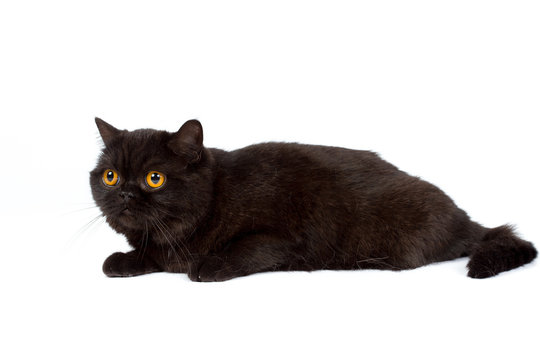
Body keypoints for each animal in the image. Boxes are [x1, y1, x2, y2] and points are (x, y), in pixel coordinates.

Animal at [89, 118, 536, 282]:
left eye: (155, 178)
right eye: (110, 176)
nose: (124, 192)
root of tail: (466, 219)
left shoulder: (282, 238)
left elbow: (240, 251)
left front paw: (206, 264)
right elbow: (145, 256)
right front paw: (124, 260)